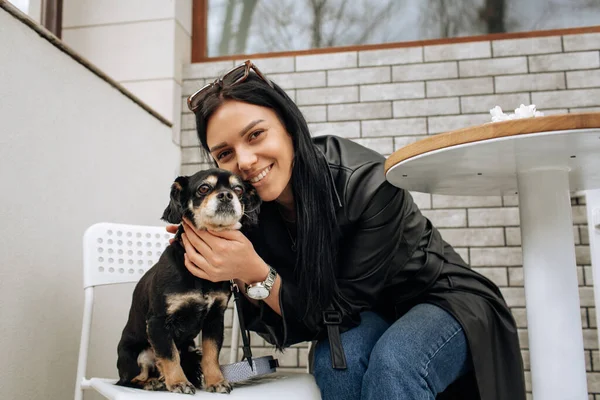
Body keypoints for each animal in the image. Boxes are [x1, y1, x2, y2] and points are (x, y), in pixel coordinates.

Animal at [115, 168, 260, 394]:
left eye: (238, 189)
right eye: (204, 188)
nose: (226, 195)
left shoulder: (214, 320)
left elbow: (211, 355)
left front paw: (215, 381)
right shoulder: (158, 322)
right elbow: (169, 355)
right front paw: (178, 382)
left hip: (191, 348)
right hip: (136, 356)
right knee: (131, 378)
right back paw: (153, 382)